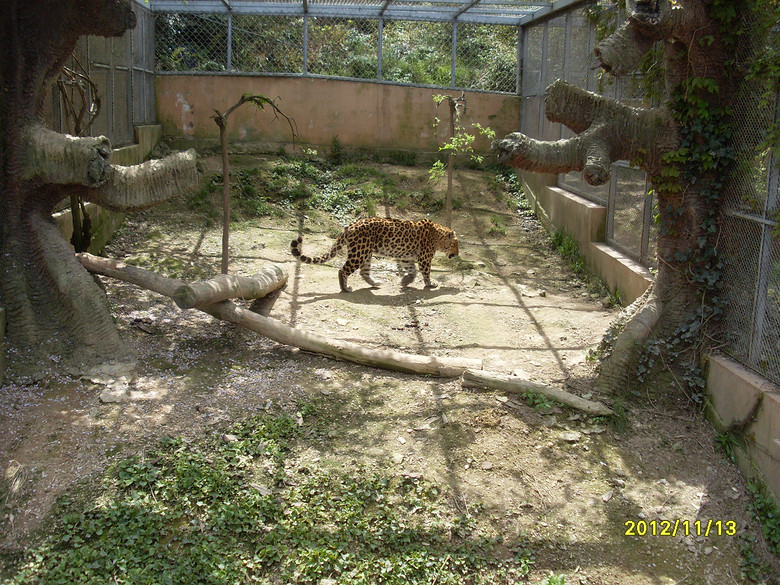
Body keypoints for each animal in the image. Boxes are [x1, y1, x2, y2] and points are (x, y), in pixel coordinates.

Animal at [292, 217, 464, 292]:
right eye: (456, 244)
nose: (457, 254)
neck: (438, 236)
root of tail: (350, 225)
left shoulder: (406, 257)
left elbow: (412, 270)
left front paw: (405, 281)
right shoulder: (425, 258)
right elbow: (426, 272)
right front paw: (430, 284)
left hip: (366, 253)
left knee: (364, 272)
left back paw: (375, 283)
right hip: (359, 253)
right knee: (343, 270)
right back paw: (345, 288)